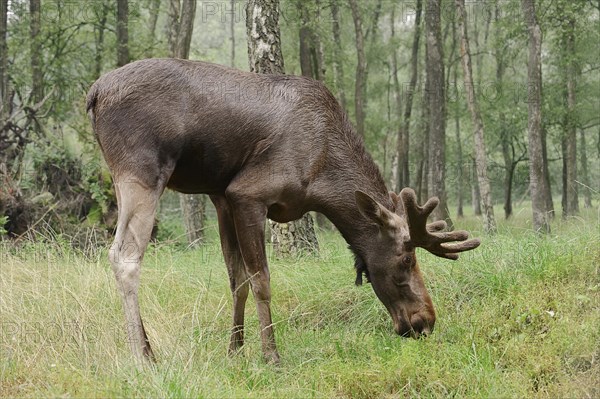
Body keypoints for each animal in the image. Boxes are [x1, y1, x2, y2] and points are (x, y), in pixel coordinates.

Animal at [86, 58, 480, 366]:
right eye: (407, 259)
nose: (426, 320)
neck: (324, 180)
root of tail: (94, 93)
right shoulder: (248, 194)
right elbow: (261, 281)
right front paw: (271, 355)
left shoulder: (221, 197)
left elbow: (237, 280)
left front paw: (235, 351)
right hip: (142, 171)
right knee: (124, 256)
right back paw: (144, 355)